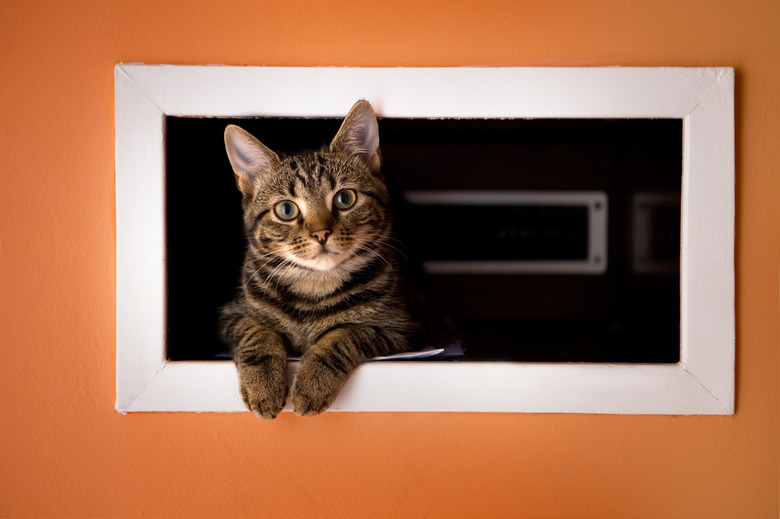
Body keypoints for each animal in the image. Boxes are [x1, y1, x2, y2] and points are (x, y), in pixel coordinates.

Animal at [219, 100, 420, 418]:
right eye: (286, 210)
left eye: (345, 198)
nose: (321, 233)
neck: (313, 285)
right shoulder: (232, 315)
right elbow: (256, 332)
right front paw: (263, 385)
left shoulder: (399, 330)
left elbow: (343, 336)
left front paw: (312, 384)